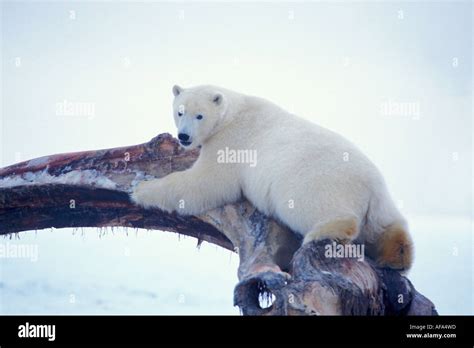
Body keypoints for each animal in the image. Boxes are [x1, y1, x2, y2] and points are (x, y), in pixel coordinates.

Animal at [131, 85, 412, 272]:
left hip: (317, 183)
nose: (184, 137)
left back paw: (322, 233)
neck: (232, 114)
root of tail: (372, 188)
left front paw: (140, 189)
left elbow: (206, 182)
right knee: (391, 228)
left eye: (199, 115)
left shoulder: (232, 143)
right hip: (382, 207)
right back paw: (397, 255)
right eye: (179, 111)